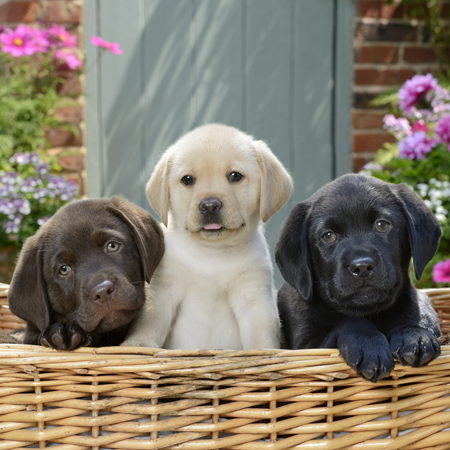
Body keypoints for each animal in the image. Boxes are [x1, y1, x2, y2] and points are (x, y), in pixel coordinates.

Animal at [123, 124, 292, 352]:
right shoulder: (163, 290)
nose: (210, 205)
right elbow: (150, 318)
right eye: (187, 179)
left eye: (235, 176)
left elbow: (261, 331)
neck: (211, 253)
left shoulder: (253, 297)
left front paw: (262, 351)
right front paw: (137, 344)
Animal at [276, 174, 442, 382]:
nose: (362, 266)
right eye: (328, 236)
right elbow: (351, 322)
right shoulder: (306, 347)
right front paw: (370, 347)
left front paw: (414, 335)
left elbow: (409, 317)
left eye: (382, 225)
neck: (368, 311)